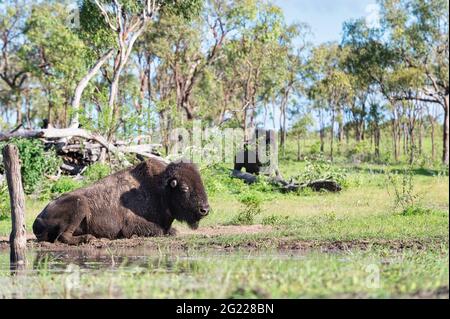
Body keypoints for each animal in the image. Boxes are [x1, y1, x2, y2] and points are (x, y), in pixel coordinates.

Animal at [32, 159, 210, 246]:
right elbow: (160, 230)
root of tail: (38, 218)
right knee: (63, 236)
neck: (159, 188)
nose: (205, 209)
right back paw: (90, 239)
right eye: (184, 188)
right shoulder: (130, 225)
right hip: (79, 203)